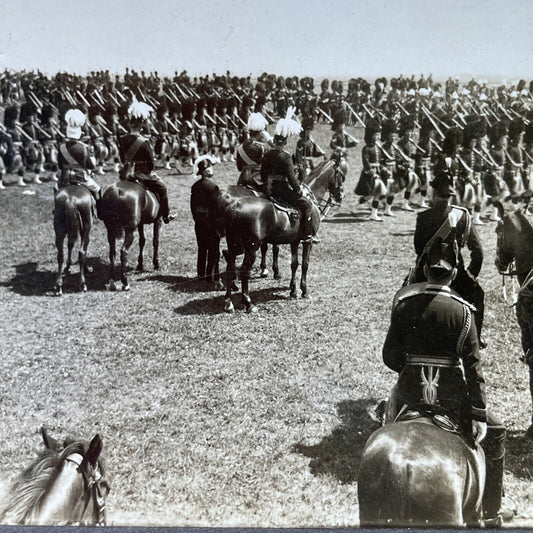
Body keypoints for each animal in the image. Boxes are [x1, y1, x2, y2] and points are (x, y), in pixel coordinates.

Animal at [210, 160, 342, 314]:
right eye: (340, 174)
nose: (340, 196)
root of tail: (233, 206)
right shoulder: (307, 242)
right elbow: (304, 264)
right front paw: (304, 290)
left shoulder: (294, 241)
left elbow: (294, 264)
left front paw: (293, 290)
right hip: (250, 248)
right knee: (243, 270)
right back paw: (248, 303)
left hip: (234, 244)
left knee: (228, 263)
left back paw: (228, 301)